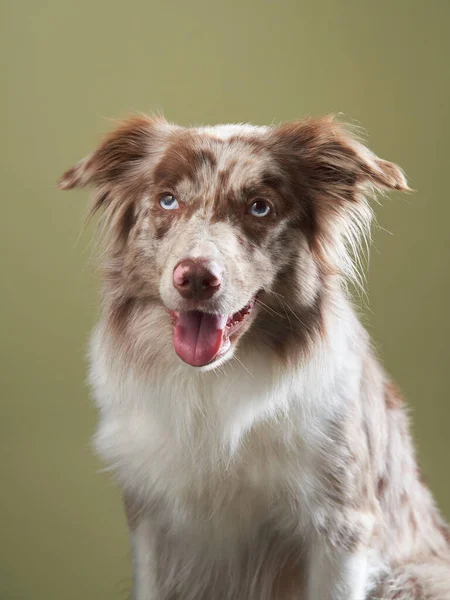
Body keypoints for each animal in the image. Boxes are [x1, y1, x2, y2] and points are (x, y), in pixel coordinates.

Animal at [59, 115, 450, 596]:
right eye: (168, 200)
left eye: (260, 207)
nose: (195, 278)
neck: (211, 384)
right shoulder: (149, 519)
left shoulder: (341, 525)